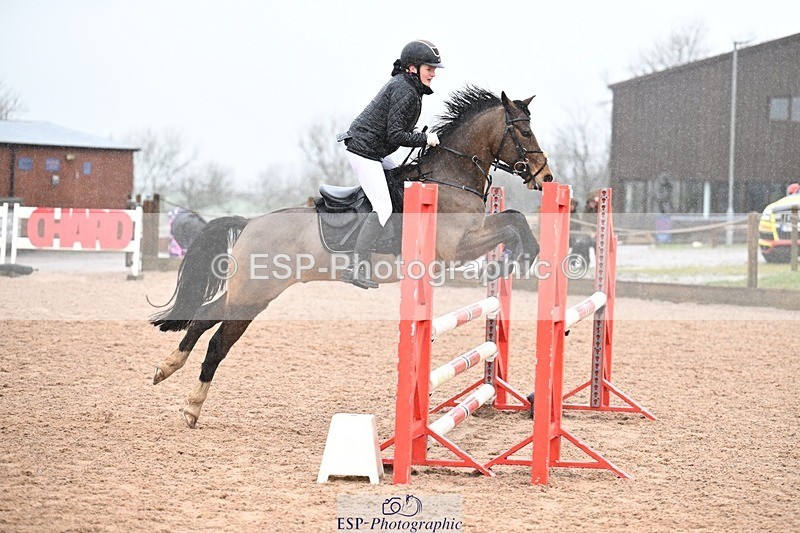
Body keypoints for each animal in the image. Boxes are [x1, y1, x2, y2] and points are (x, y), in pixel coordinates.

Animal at [150, 86, 554, 428]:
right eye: (524, 133)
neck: (449, 177)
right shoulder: (458, 246)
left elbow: (514, 219)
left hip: (253, 293)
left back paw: (168, 368)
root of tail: (250, 222)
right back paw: (191, 407)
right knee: (218, 342)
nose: (545, 177)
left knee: (203, 316)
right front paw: (514, 260)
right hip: (253, 295)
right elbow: (512, 225)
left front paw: (515, 259)